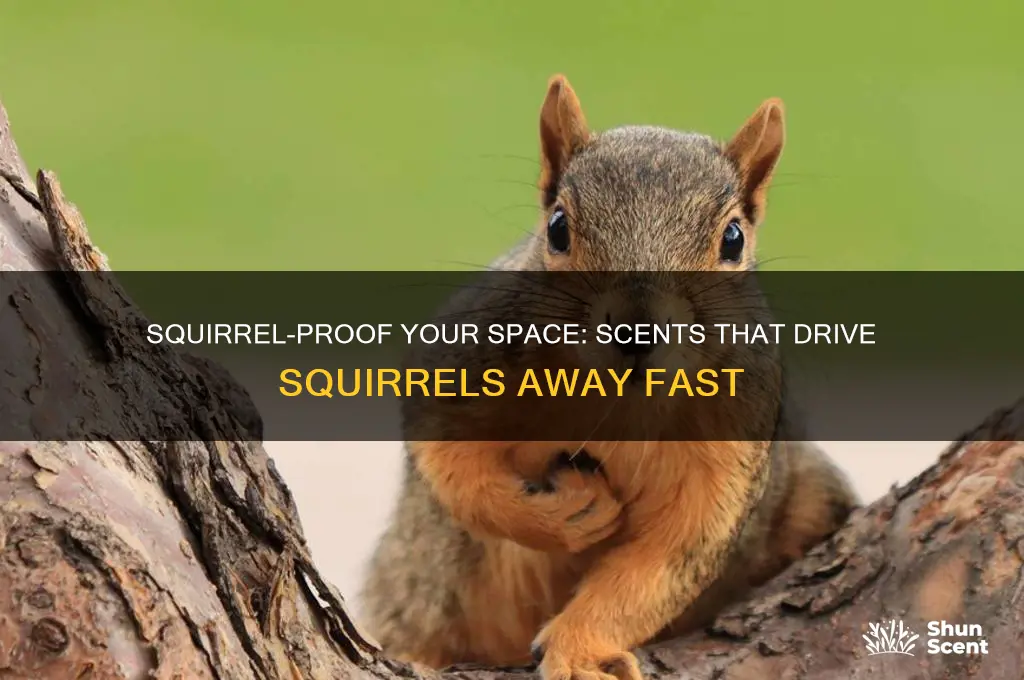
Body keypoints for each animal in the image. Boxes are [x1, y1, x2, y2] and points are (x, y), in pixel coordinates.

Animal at [358, 75, 858, 680]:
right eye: (557, 228)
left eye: (733, 239)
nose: (636, 331)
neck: (616, 401)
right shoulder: (459, 368)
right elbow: (454, 470)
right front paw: (563, 514)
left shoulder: (731, 450)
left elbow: (659, 567)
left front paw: (579, 652)